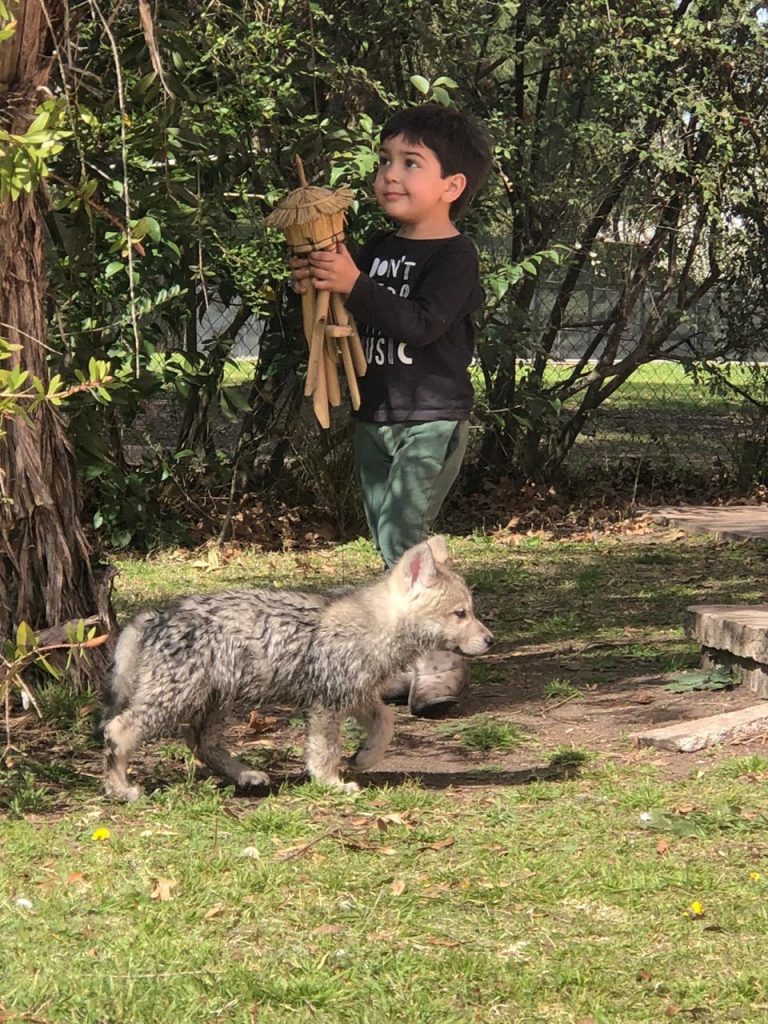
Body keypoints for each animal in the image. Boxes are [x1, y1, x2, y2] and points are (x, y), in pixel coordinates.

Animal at [102, 536, 493, 800]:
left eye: (471, 611)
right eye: (460, 614)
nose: (490, 640)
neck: (375, 625)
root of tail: (157, 616)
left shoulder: (355, 694)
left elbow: (386, 724)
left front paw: (365, 757)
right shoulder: (326, 704)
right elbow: (324, 751)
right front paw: (331, 783)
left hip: (216, 698)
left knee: (200, 742)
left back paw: (245, 775)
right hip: (175, 699)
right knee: (117, 730)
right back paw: (122, 788)